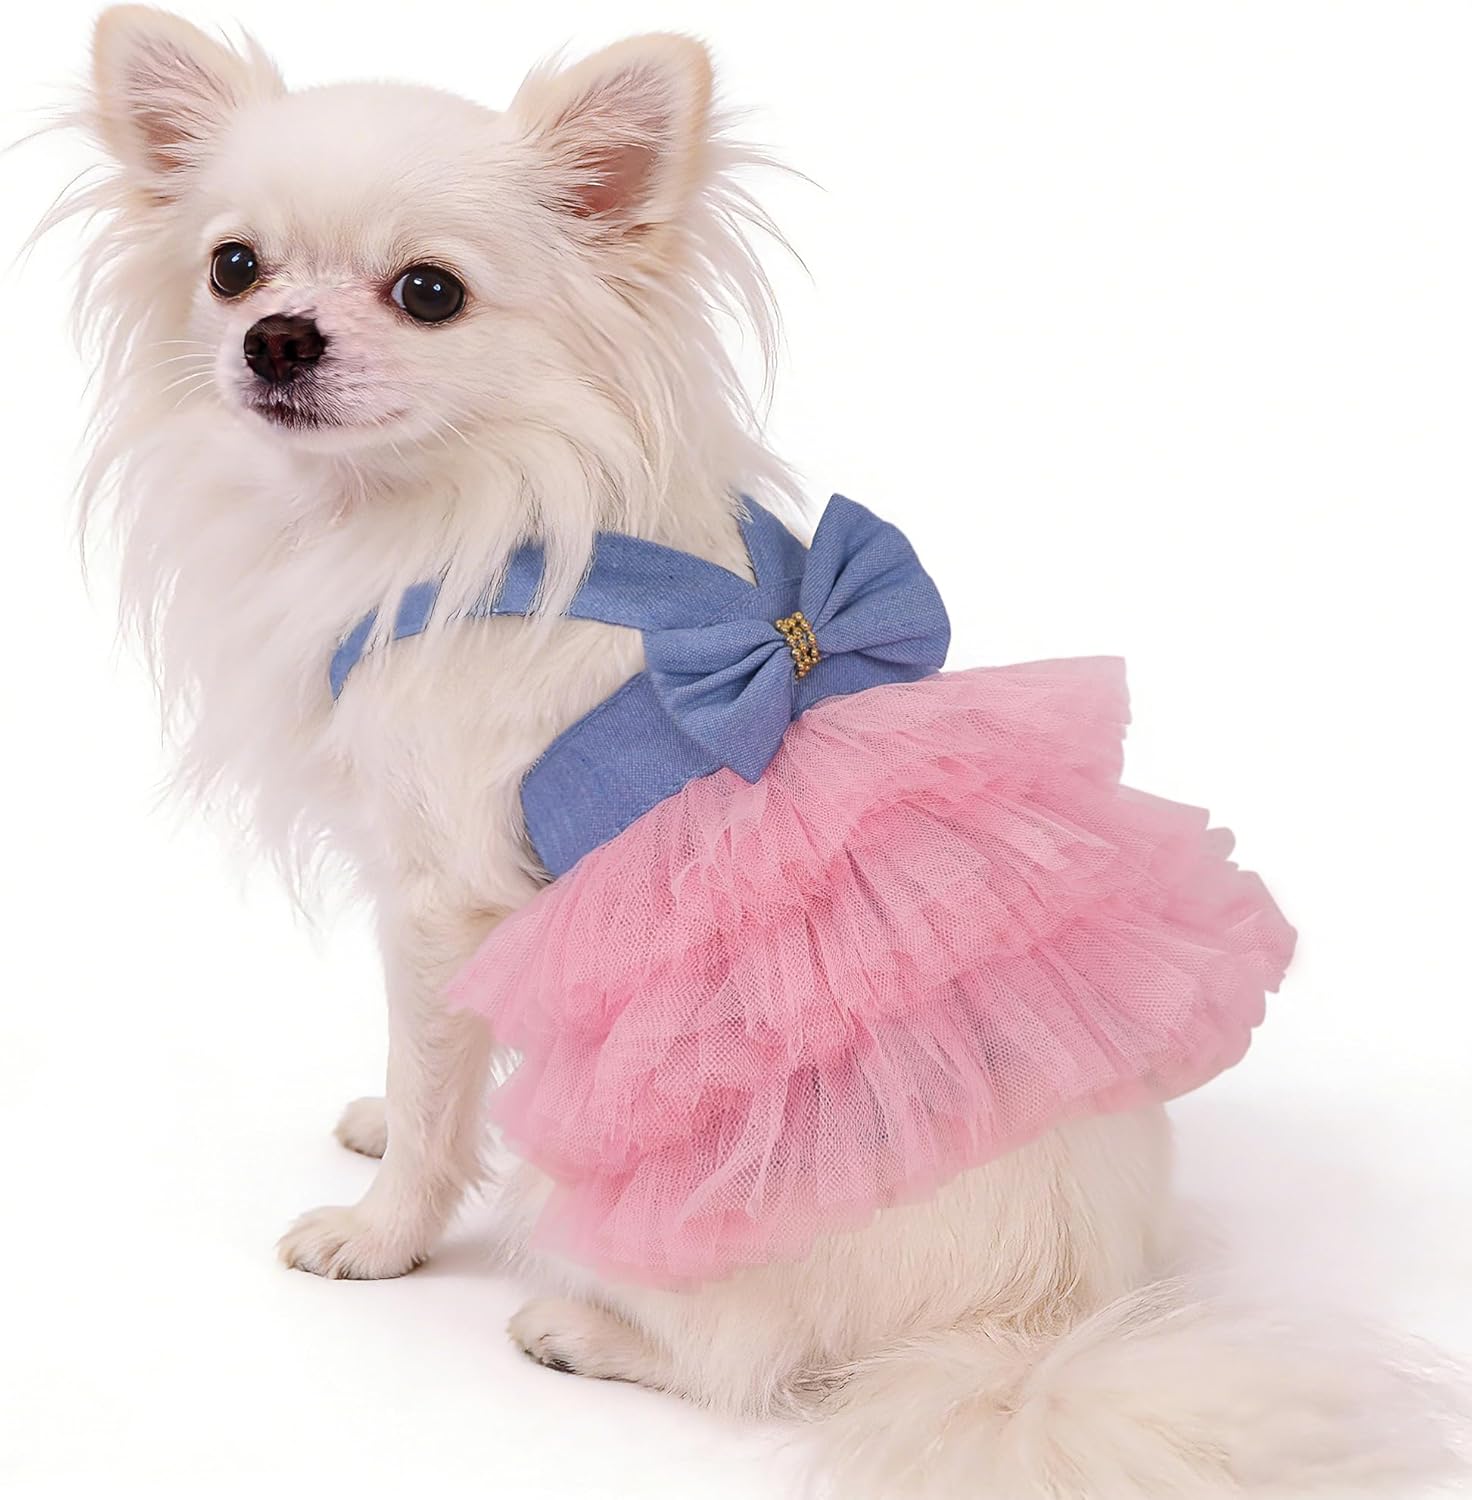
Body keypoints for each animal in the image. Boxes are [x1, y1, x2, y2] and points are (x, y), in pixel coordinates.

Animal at [41, 7, 1465, 1495]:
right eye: (231, 267)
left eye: (429, 293)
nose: (275, 337)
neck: (424, 514)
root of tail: (1028, 1336)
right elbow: (434, 1068)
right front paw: (387, 1116)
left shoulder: (442, 900)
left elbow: (435, 1085)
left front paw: (382, 1232)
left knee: (747, 1362)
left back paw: (578, 1329)